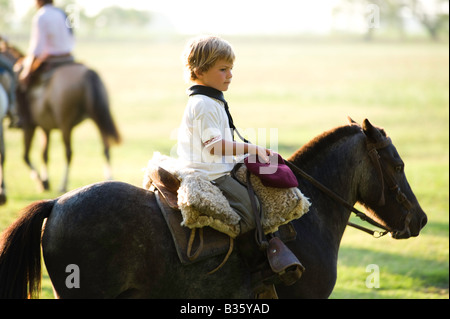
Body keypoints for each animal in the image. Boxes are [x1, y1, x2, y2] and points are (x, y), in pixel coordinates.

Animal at [1, 42, 120, 192]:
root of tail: (88, 73)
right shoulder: (45, 128)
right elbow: (44, 154)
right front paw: (45, 180)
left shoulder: (30, 125)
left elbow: (26, 156)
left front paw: (42, 182)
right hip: (97, 117)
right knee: (106, 148)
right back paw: (109, 177)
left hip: (65, 123)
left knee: (68, 153)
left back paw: (63, 185)